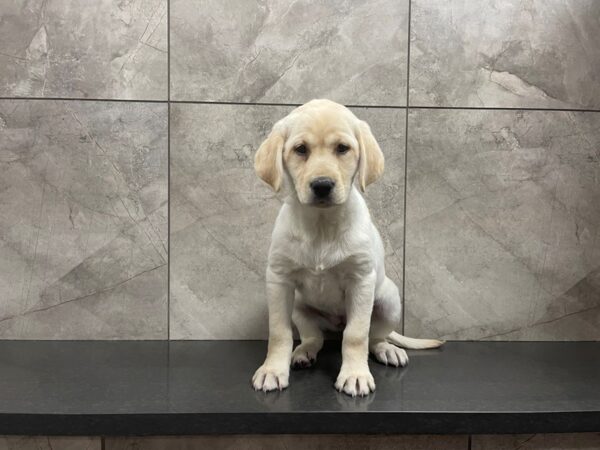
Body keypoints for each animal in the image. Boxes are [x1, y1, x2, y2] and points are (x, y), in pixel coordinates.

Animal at [251, 99, 442, 398]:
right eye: (300, 149)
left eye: (342, 148)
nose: (322, 185)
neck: (321, 224)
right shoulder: (279, 280)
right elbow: (279, 333)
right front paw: (272, 370)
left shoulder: (360, 281)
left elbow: (356, 336)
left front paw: (354, 376)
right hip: (299, 306)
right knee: (314, 336)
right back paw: (303, 352)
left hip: (389, 300)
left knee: (374, 336)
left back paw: (387, 350)